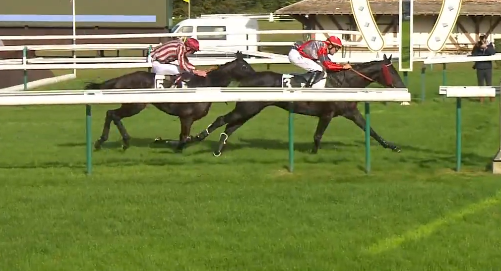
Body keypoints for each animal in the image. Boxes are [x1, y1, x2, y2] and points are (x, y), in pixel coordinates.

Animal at [85, 51, 254, 153]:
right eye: (244, 66)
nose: (256, 75)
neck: (205, 85)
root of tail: (121, 79)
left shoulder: (189, 118)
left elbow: (186, 137)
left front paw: (166, 142)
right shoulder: (186, 116)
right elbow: (184, 137)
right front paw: (171, 145)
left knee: (111, 114)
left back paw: (106, 142)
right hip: (135, 105)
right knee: (113, 114)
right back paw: (118, 141)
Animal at [188, 54, 406, 156]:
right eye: (392, 71)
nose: (402, 86)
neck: (344, 83)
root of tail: (250, 76)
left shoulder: (350, 112)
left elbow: (370, 130)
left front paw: (392, 146)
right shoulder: (327, 113)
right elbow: (318, 135)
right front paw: (313, 154)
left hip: (249, 110)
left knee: (230, 126)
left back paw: (217, 150)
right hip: (248, 107)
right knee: (221, 120)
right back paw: (190, 141)